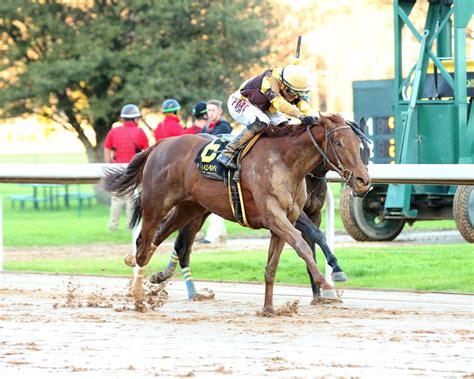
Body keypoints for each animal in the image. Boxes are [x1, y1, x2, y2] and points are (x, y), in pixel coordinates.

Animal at [103, 114, 370, 316]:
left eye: (362, 146)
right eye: (339, 143)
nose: (363, 181)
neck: (286, 161)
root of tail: (161, 144)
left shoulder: (286, 219)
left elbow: (273, 265)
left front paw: (269, 309)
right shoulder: (275, 216)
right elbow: (303, 245)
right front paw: (326, 284)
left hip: (190, 208)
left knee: (159, 239)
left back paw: (149, 273)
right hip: (156, 203)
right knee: (144, 241)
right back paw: (138, 297)